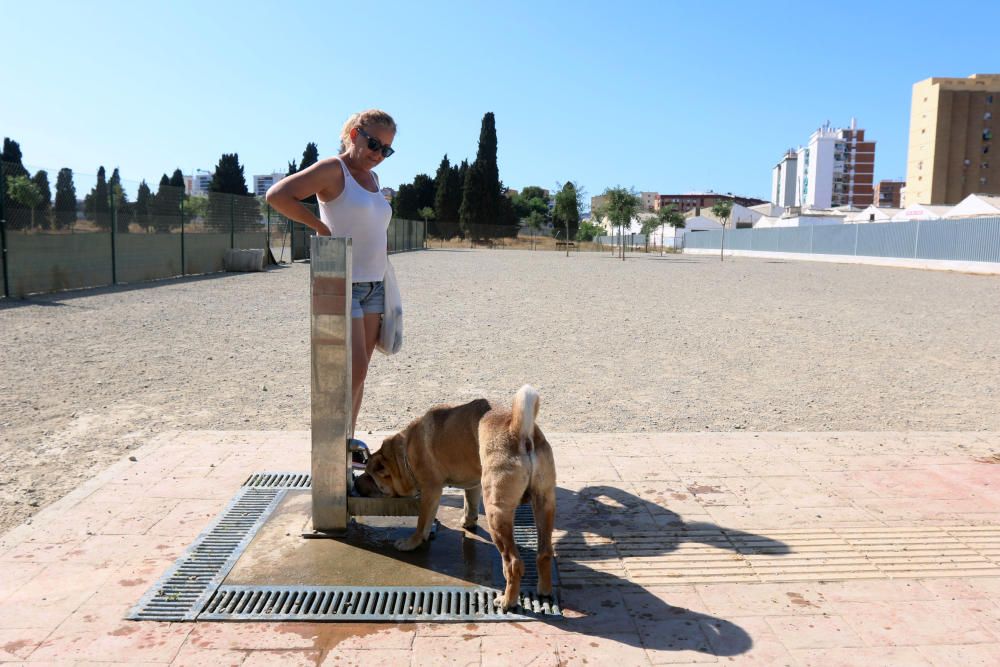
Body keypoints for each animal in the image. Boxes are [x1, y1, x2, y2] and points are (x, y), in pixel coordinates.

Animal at [366, 386, 560, 612]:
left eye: (370, 477)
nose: (359, 481)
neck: (404, 451)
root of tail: (520, 431)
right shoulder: (474, 485)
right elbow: (470, 504)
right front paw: (468, 522)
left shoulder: (431, 490)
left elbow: (422, 523)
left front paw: (412, 542)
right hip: (544, 504)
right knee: (544, 553)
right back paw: (544, 590)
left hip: (496, 513)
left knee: (513, 563)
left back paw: (507, 601)